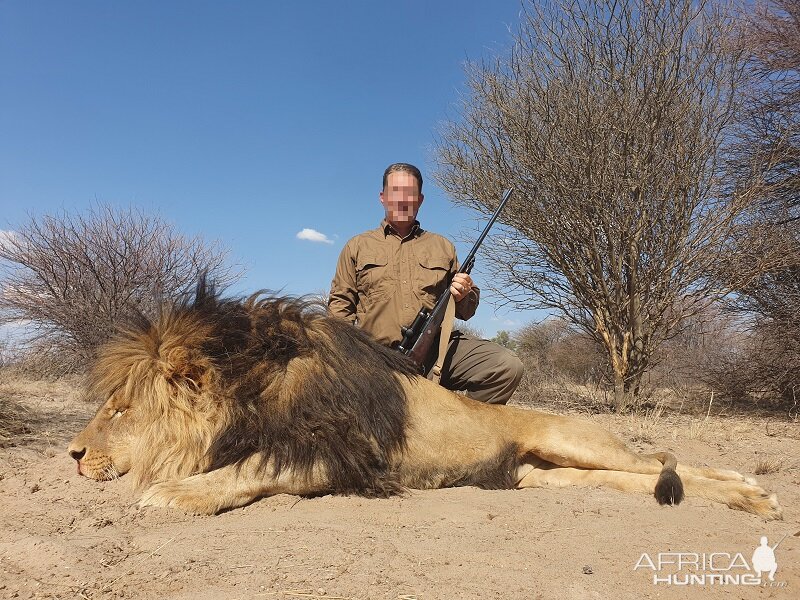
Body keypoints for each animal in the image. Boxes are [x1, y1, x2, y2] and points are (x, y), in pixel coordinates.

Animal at [67, 278, 780, 516]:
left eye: (122, 409)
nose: (72, 454)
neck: (254, 391)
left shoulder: (340, 453)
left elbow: (245, 470)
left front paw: (171, 491)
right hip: (543, 476)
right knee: (647, 477)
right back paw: (746, 490)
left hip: (570, 437)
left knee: (663, 462)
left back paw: (755, 493)